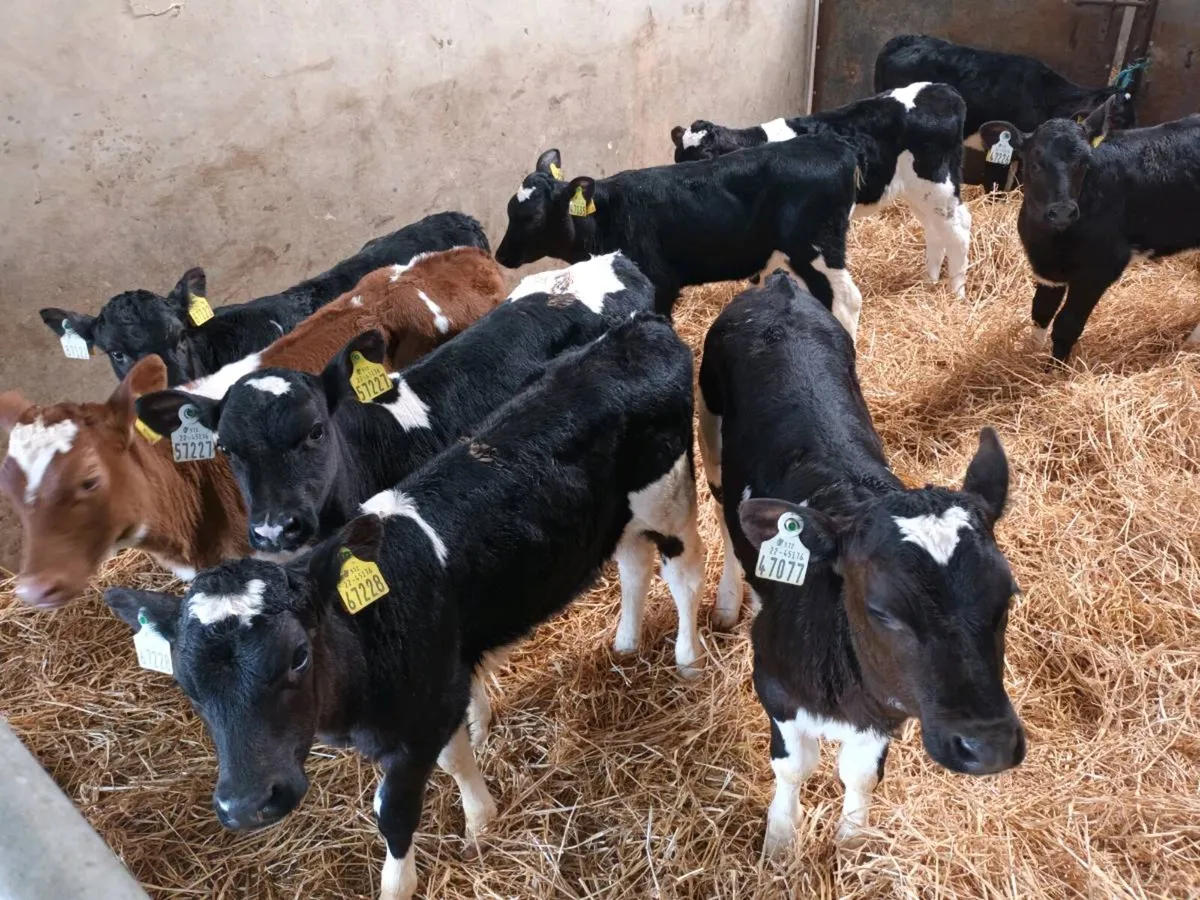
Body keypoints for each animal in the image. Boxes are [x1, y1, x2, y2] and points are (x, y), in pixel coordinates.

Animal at [103, 312, 706, 900]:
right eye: (186, 682)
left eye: (298, 656)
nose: (248, 804)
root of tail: (640, 329)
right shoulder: (437, 693)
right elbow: (457, 756)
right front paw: (482, 817)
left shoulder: (422, 716)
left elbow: (393, 813)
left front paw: (416, 869)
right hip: (618, 513)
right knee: (632, 562)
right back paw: (626, 642)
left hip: (668, 495)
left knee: (683, 574)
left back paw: (689, 658)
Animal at [494, 143, 865, 337]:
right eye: (509, 209)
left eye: (533, 218)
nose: (501, 256)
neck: (606, 218)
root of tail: (834, 146)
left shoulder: (660, 283)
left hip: (819, 248)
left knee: (847, 299)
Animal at [670, 82, 972, 296]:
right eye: (677, 157)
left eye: (703, 156)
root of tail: (944, 90)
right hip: (918, 192)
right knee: (936, 230)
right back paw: (929, 282)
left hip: (937, 184)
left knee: (959, 230)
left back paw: (955, 293)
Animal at [697, 271, 1025, 854]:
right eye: (882, 610)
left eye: (1005, 598)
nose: (987, 745)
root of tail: (778, 287)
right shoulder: (774, 686)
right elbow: (793, 767)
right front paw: (780, 840)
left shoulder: (885, 709)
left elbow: (861, 774)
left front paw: (851, 839)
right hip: (710, 439)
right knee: (723, 516)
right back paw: (730, 601)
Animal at [977, 103, 1200, 362]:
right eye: (1035, 163)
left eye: (1084, 163)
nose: (1063, 211)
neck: (1050, 240)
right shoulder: (1047, 268)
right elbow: (1041, 310)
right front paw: (1030, 355)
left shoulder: (1100, 268)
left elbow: (1067, 324)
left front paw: (1054, 368)